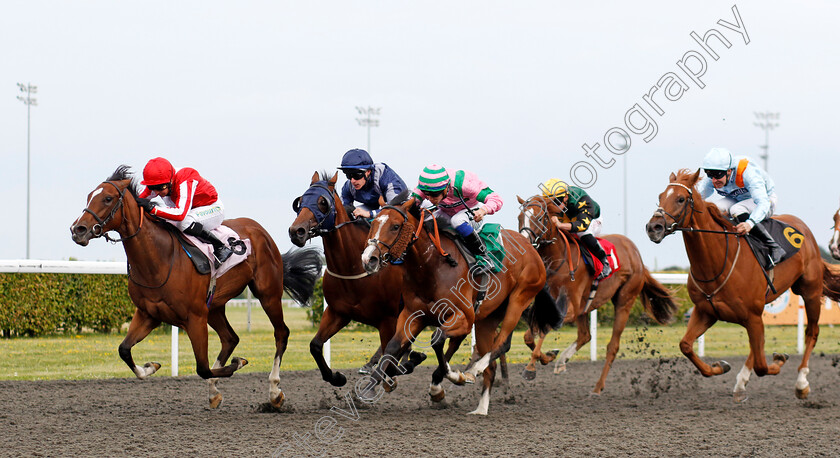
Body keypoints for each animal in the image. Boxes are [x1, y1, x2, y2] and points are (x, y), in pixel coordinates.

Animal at [69, 165, 322, 408]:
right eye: (89, 196)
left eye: (108, 198)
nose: (77, 230)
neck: (158, 259)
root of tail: (259, 229)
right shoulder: (148, 314)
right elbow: (124, 350)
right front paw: (151, 366)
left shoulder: (194, 317)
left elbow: (202, 367)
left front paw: (239, 363)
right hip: (215, 305)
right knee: (230, 338)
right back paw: (214, 392)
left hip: (267, 293)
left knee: (280, 333)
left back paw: (274, 391)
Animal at [288, 171, 426, 386]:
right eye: (300, 201)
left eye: (322, 202)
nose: (296, 231)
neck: (352, 268)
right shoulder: (337, 312)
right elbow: (315, 345)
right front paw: (336, 377)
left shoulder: (387, 319)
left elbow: (391, 359)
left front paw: (409, 361)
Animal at [358, 197, 556, 416]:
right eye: (373, 224)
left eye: (395, 226)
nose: (369, 259)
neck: (431, 267)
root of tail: (531, 247)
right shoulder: (413, 314)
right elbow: (394, 345)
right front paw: (371, 386)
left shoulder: (464, 319)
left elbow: (437, 340)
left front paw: (444, 381)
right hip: (487, 318)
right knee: (492, 364)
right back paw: (480, 408)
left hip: (519, 299)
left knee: (502, 343)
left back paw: (473, 371)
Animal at [516, 193, 680, 394]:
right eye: (520, 218)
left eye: (539, 219)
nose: (525, 242)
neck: (558, 261)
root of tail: (637, 255)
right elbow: (529, 336)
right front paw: (548, 356)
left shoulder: (569, 309)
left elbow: (544, 328)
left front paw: (531, 367)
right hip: (586, 307)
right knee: (585, 335)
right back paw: (562, 361)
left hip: (624, 300)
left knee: (613, 346)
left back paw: (598, 387)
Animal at [648, 169, 840, 400]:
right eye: (660, 197)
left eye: (681, 199)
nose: (653, 227)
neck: (717, 263)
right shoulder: (706, 311)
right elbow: (685, 345)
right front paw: (719, 367)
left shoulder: (752, 316)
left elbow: (762, 366)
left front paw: (779, 359)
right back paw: (741, 381)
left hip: (810, 291)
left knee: (812, 332)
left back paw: (802, 382)